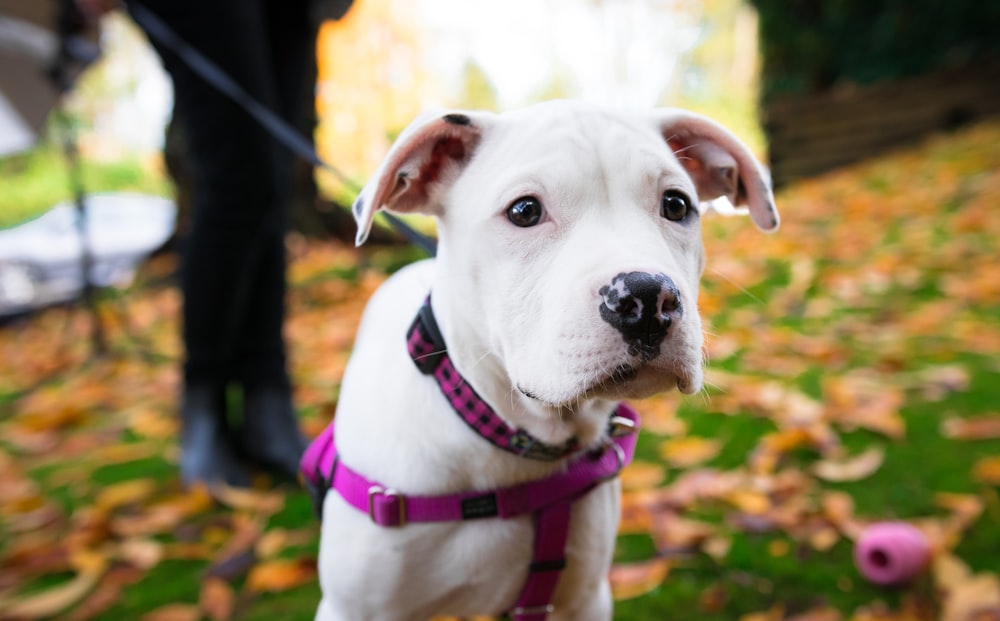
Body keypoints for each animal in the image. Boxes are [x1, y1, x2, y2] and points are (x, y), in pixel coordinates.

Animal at [300, 101, 776, 620]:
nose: (649, 298)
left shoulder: (585, 598)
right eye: (524, 211)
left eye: (677, 205)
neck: (514, 442)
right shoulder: (352, 609)